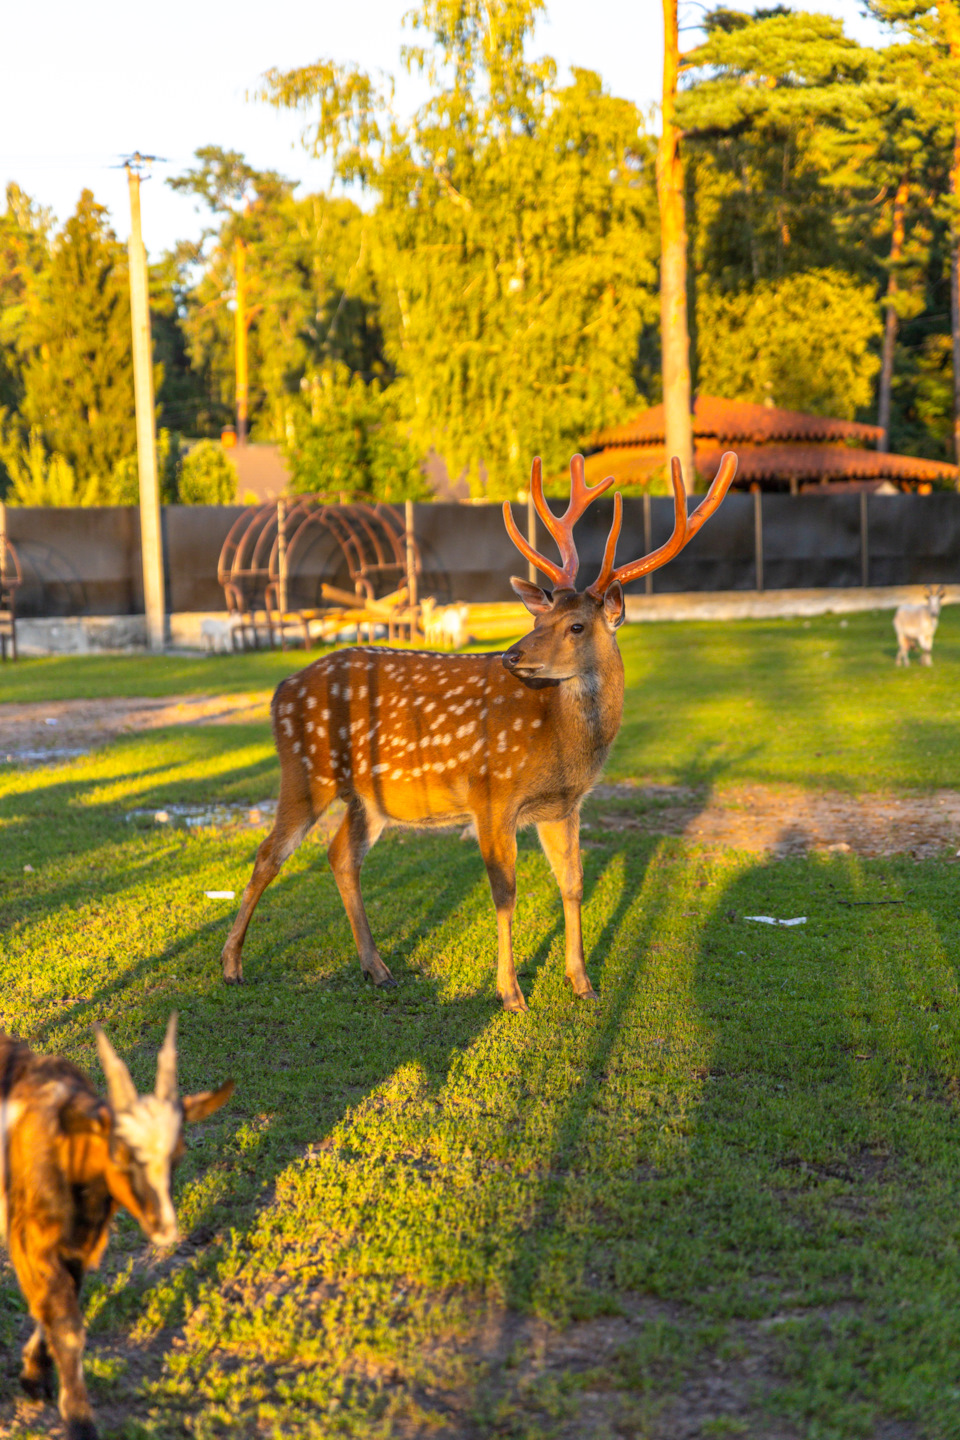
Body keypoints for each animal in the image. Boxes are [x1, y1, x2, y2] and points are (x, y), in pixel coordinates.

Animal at [0, 1019, 233, 1434]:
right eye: (121, 1154)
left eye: (177, 1154)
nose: (164, 1227)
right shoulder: (28, 1239)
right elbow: (66, 1325)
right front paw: (79, 1422)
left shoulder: (79, 1241)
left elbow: (61, 1304)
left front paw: (34, 1375)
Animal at [221, 452, 742, 1013]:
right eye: (539, 618)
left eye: (575, 625)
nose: (512, 656)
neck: (565, 747)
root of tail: (279, 692)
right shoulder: (492, 795)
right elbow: (505, 892)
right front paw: (511, 992)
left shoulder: (563, 805)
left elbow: (573, 884)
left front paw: (582, 982)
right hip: (305, 770)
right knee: (269, 854)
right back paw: (232, 967)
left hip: (368, 798)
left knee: (341, 856)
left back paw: (377, 969)